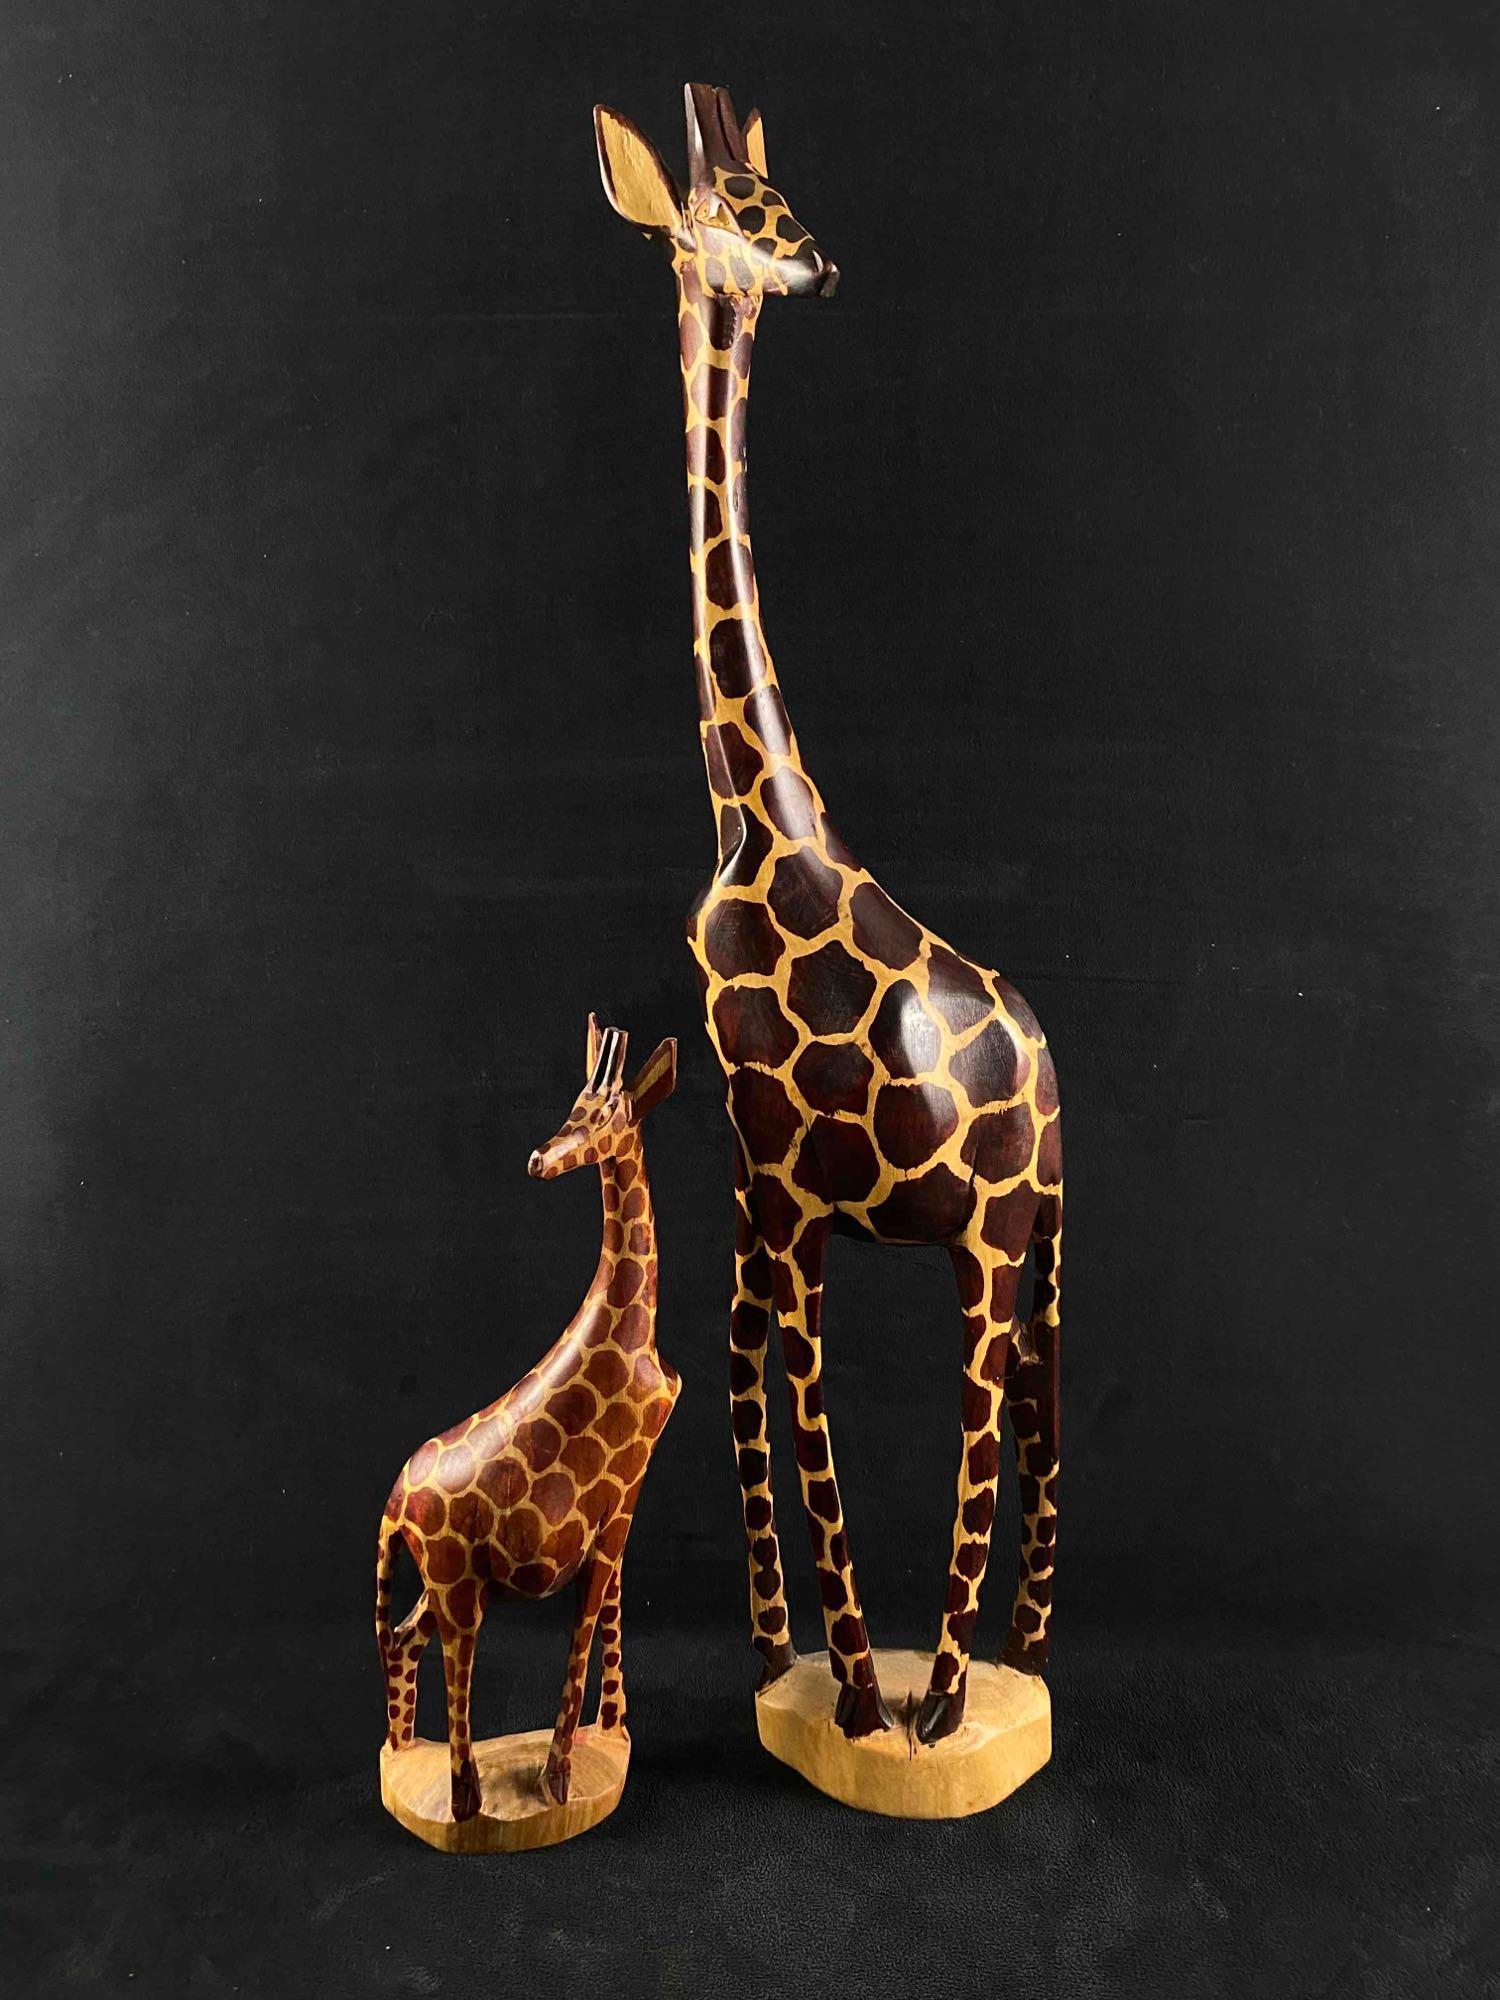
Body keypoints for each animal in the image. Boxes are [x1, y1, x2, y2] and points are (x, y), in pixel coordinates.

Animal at [375, 1019, 680, 1819]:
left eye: (605, 1114)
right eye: (574, 1105)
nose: (541, 1158)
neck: (638, 1333)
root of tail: (395, 1504)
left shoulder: (620, 1513)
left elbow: (608, 1620)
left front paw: (611, 1731)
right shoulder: (613, 1515)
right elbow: (585, 1630)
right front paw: (557, 1779)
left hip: (445, 1581)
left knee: (403, 1639)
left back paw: (405, 1753)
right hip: (457, 1582)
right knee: (452, 1656)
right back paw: (466, 1800)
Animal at [594, 84, 1063, 1748]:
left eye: (776, 201)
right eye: (732, 212)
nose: (821, 266)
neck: (756, 821)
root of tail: (1053, 1073)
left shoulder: (793, 1191)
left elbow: (807, 1409)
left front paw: (857, 1693)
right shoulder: (756, 1178)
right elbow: (745, 1379)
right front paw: (778, 1657)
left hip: (991, 1233)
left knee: (990, 1403)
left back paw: (943, 1699)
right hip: (1022, 1236)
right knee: (1036, 1392)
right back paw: (1011, 1656)